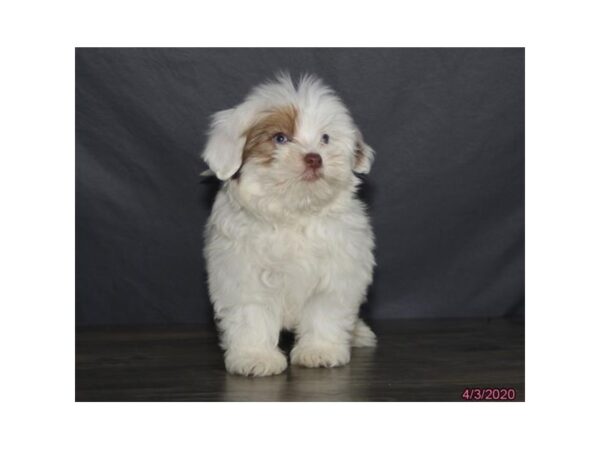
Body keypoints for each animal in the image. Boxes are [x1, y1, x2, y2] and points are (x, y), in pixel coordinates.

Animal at [204, 74, 378, 376]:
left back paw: (358, 332)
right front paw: (255, 356)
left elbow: (324, 310)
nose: (314, 157)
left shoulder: (337, 271)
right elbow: (252, 314)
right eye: (280, 138)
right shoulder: (244, 272)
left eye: (325, 138)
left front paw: (320, 351)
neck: (295, 212)